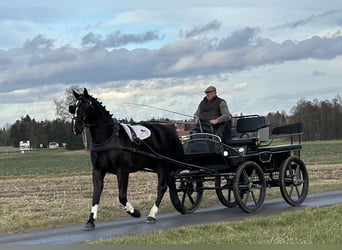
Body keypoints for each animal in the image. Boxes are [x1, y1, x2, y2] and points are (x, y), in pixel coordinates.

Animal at [69, 88, 184, 230]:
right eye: (73, 107)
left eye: (86, 106)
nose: (76, 127)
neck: (109, 137)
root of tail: (170, 132)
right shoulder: (97, 170)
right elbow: (96, 194)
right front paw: (91, 220)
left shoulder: (122, 170)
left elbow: (122, 196)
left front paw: (135, 212)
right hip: (159, 166)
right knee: (170, 184)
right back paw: (178, 206)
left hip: (163, 166)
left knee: (162, 187)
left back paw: (152, 214)